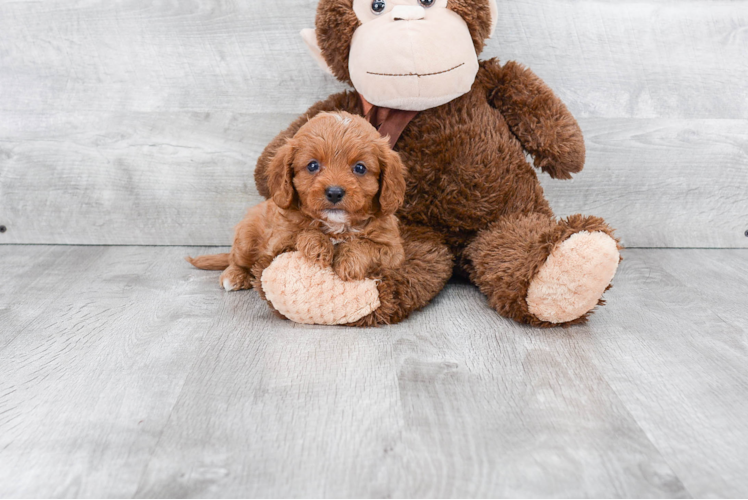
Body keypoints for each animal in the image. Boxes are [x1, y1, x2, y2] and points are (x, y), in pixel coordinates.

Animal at [190, 111, 406, 292]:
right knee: (236, 259)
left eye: (360, 168)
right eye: (312, 165)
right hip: (246, 237)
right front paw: (319, 246)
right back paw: (233, 275)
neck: (335, 225)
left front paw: (349, 261)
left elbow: (366, 245)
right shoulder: (277, 244)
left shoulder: (393, 250)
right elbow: (301, 233)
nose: (334, 193)